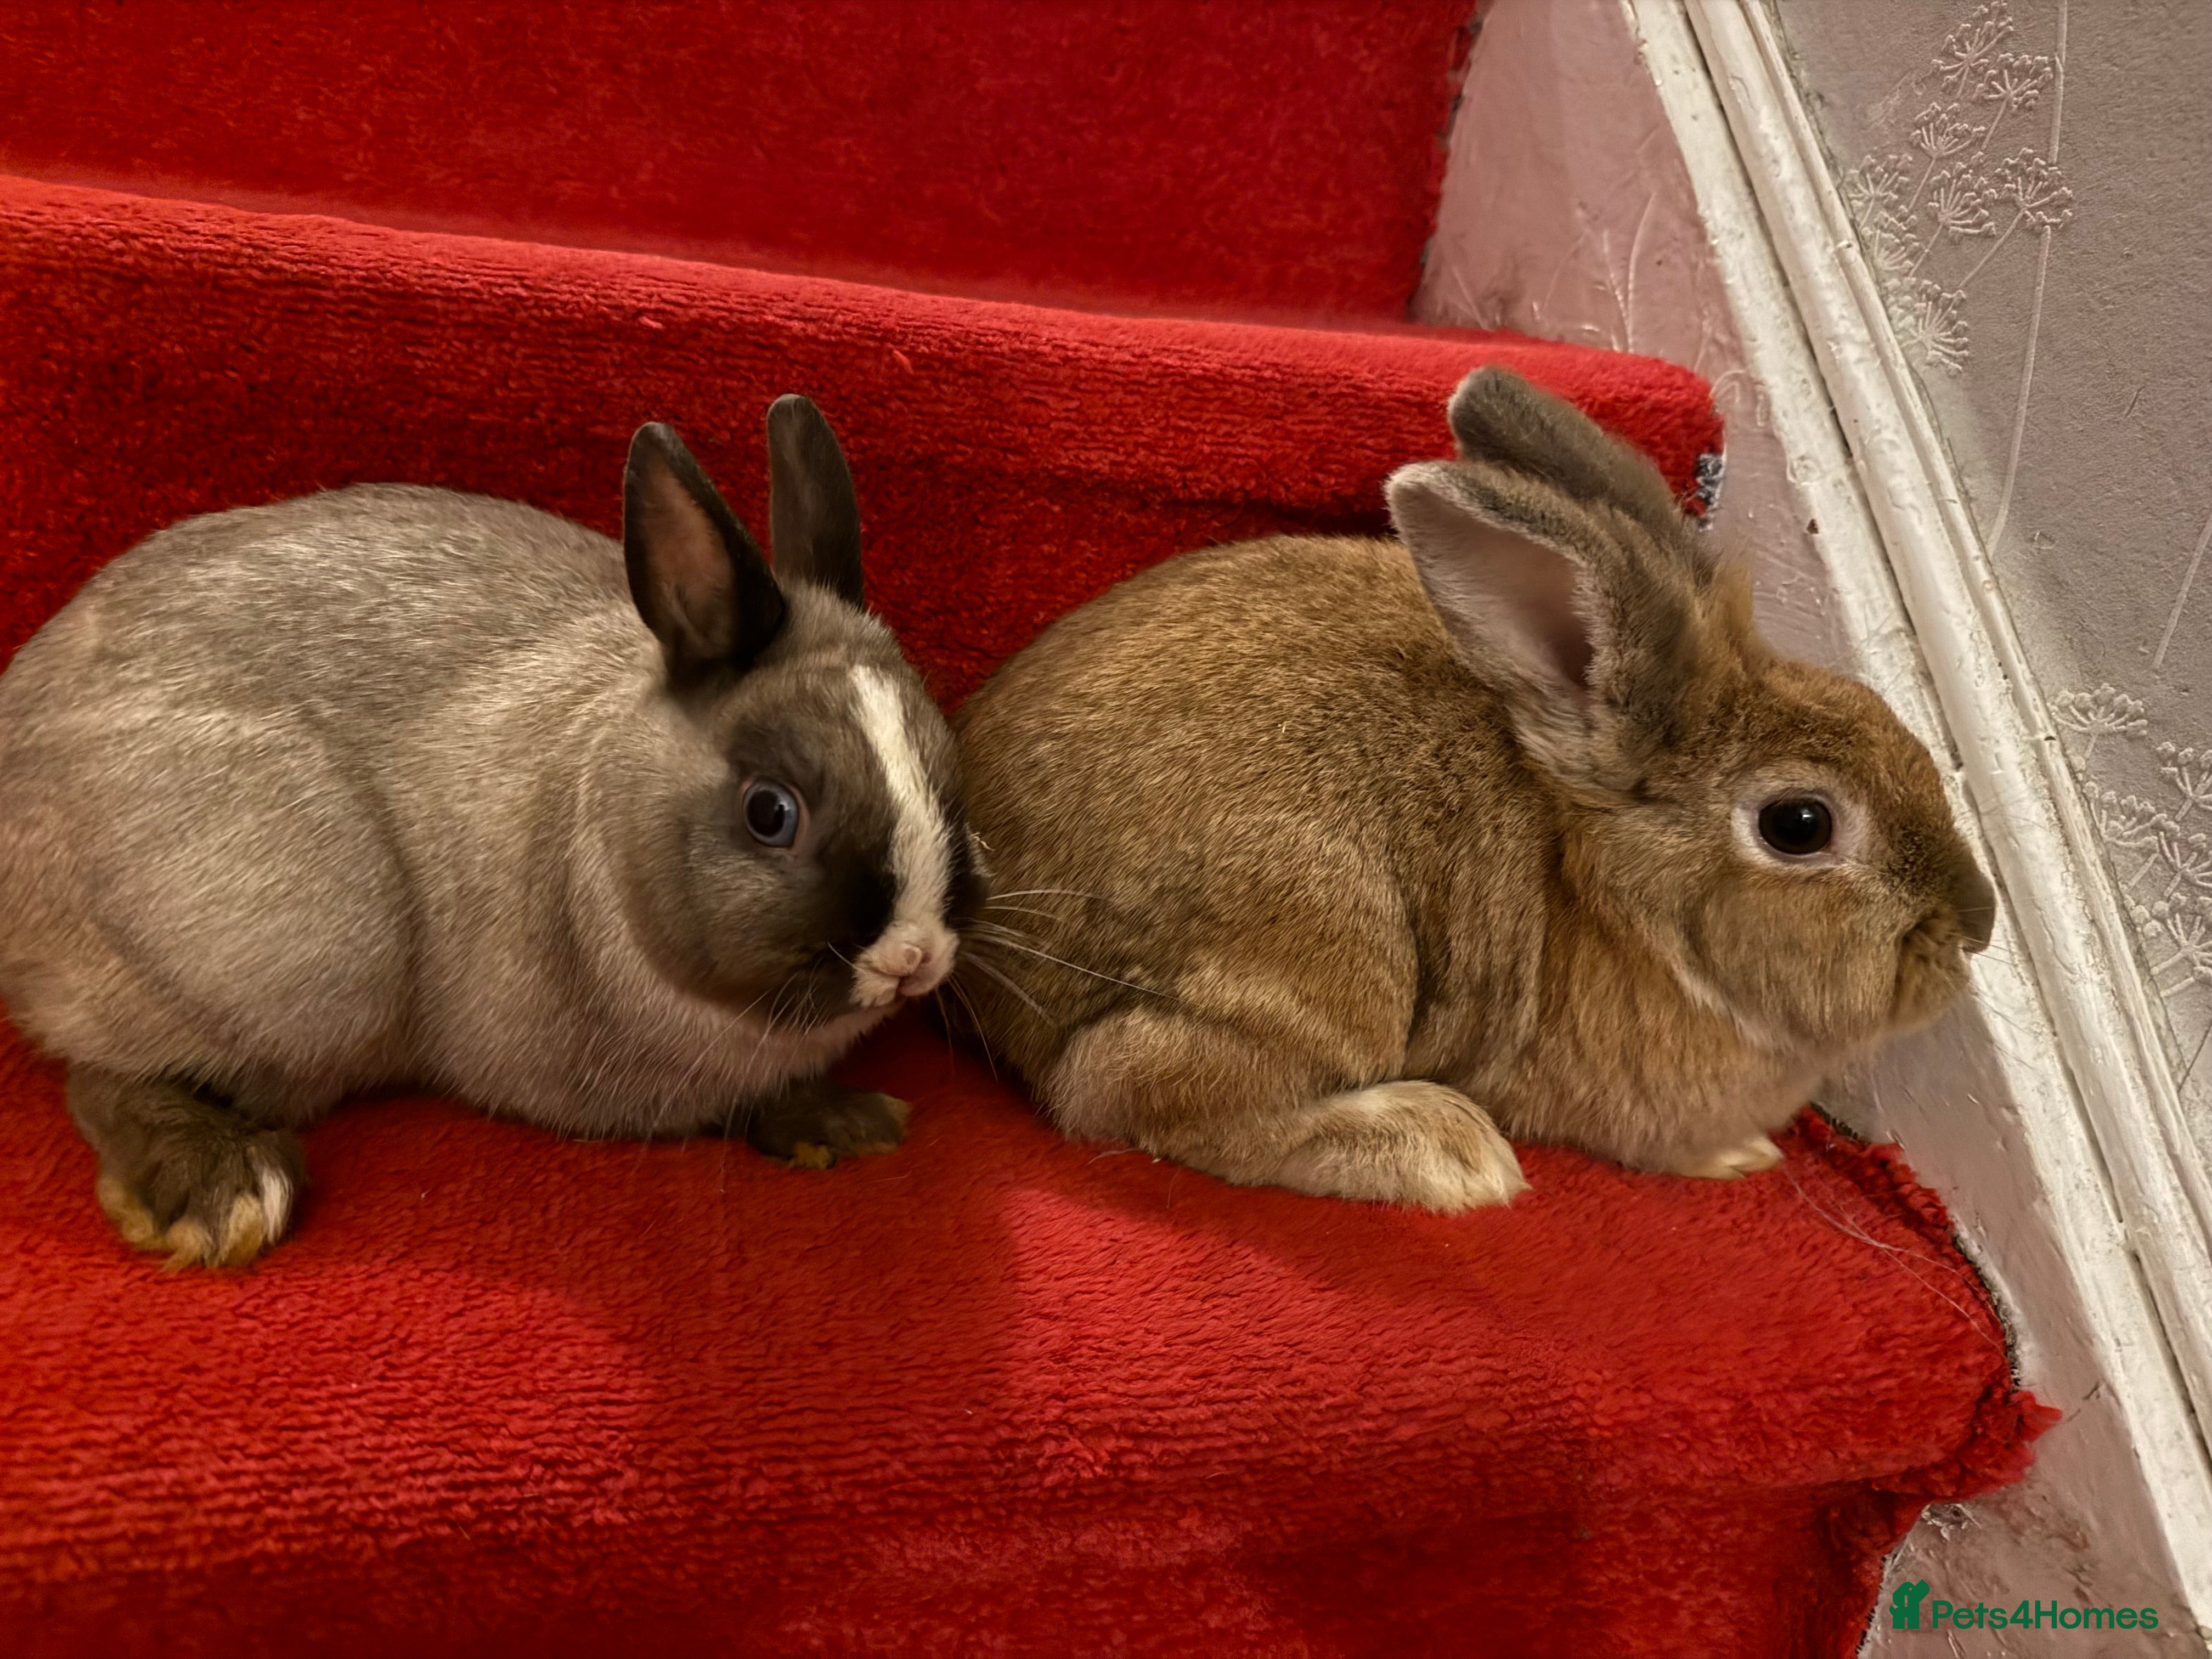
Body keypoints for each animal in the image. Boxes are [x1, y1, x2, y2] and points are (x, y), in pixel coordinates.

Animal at [0, 396, 983, 1267]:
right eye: (770, 812)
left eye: (950, 777)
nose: (912, 957)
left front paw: (853, 1125)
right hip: (296, 958)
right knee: (100, 1068)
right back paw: (219, 1191)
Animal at [949, 367, 1996, 1212]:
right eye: (1800, 823)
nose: (1974, 928)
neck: (1621, 904)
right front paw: (1740, 1156)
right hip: (1325, 953)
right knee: (1128, 1090)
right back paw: (1445, 1152)